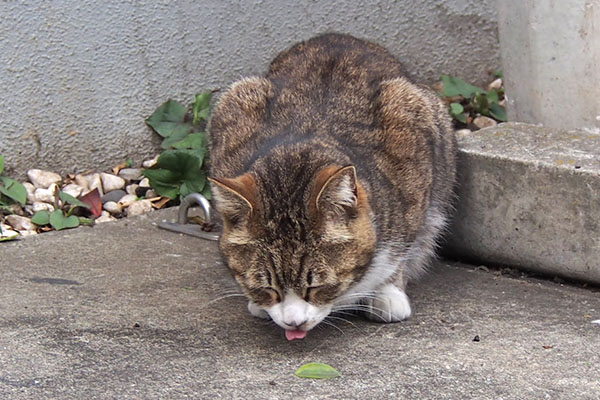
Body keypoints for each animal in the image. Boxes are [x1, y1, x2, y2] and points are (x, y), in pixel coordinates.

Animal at [206, 32, 454, 340]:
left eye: (315, 286)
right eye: (268, 287)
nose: (294, 323)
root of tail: (338, 37)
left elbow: (400, 252)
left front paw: (388, 292)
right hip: (237, 95)